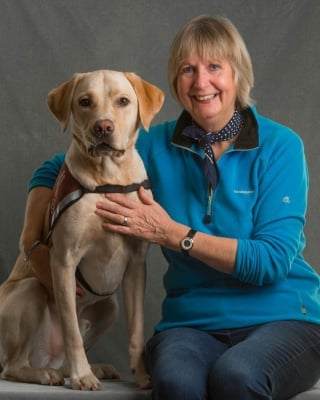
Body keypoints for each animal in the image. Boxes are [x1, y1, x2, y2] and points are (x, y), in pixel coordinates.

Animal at [0, 69, 164, 390]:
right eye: (85, 101)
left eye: (123, 101)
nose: (103, 127)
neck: (108, 180)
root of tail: (47, 358)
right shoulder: (63, 261)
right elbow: (71, 330)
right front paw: (82, 376)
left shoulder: (136, 265)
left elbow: (136, 330)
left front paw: (142, 375)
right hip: (31, 289)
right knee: (12, 366)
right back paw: (47, 373)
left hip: (109, 307)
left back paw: (92, 367)